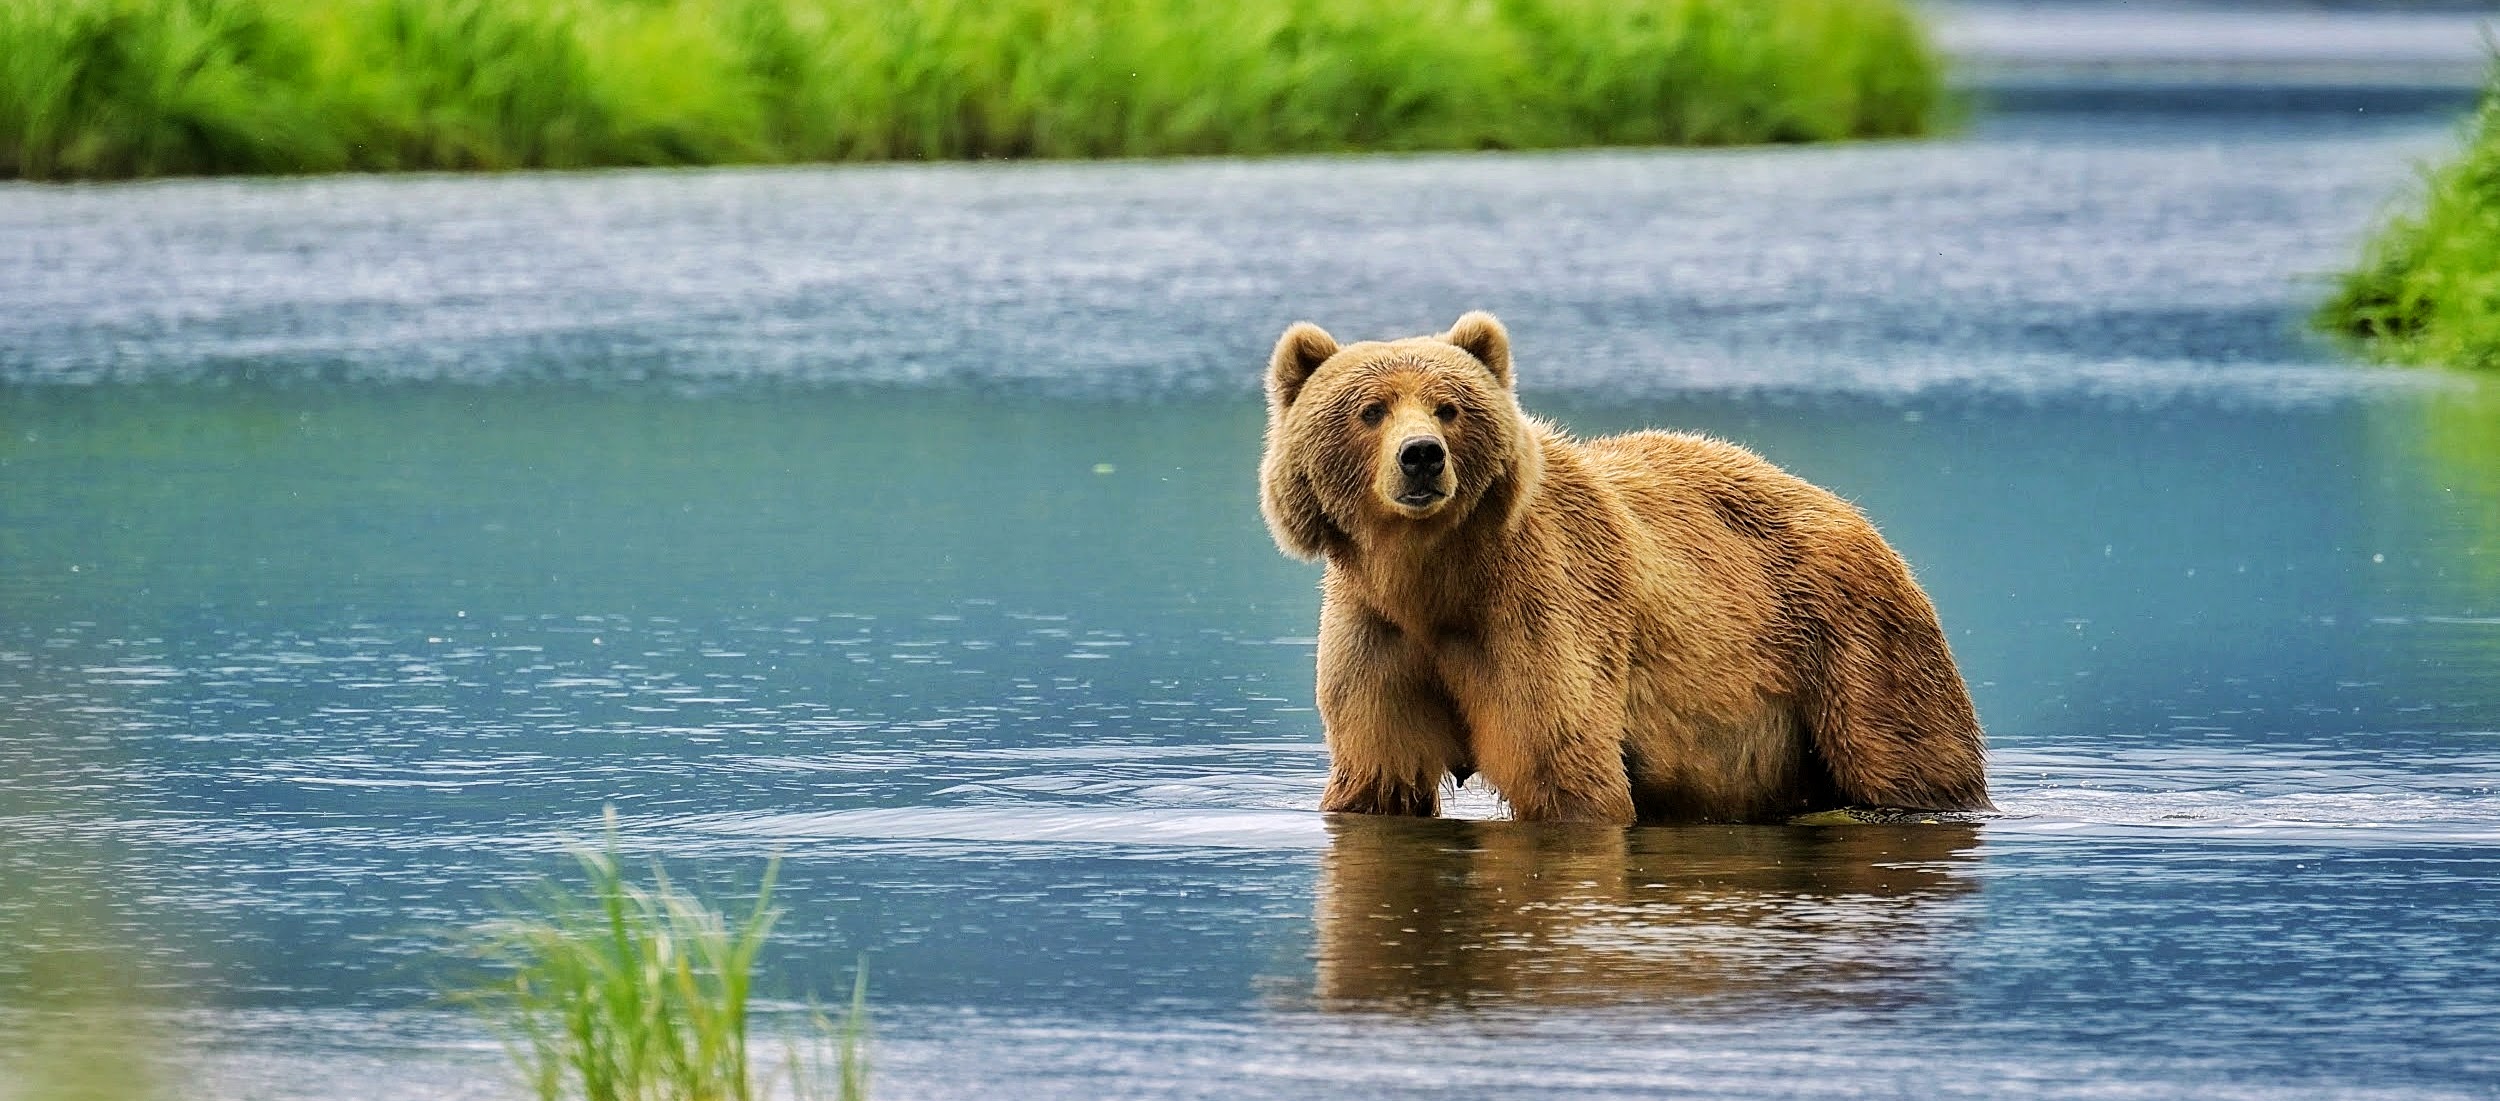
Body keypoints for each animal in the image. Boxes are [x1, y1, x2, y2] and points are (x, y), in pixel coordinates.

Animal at [1258, 312, 1991, 824]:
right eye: (1370, 409)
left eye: (1449, 406)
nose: (1421, 456)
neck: (1432, 578)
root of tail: (1858, 518)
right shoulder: (1378, 632)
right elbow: (1378, 773)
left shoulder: (1538, 613)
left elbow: (1564, 767)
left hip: (1848, 638)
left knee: (1906, 754)